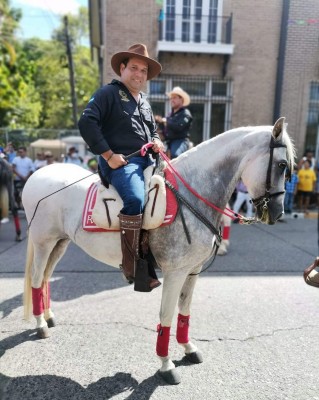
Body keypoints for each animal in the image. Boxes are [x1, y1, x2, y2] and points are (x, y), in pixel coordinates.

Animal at [23, 118, 296, 384]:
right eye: (282, 164)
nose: (277, 213)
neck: (190, 196)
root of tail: (37, 176)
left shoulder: (192, 270)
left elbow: (184, 311)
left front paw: (188, 348)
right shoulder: (175, 273)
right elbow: (165, 316)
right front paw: (166, 365)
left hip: (60, 243)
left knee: (46, 278)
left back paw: (48, 316)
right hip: (43, 242)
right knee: (36, 280)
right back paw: (40, 324)